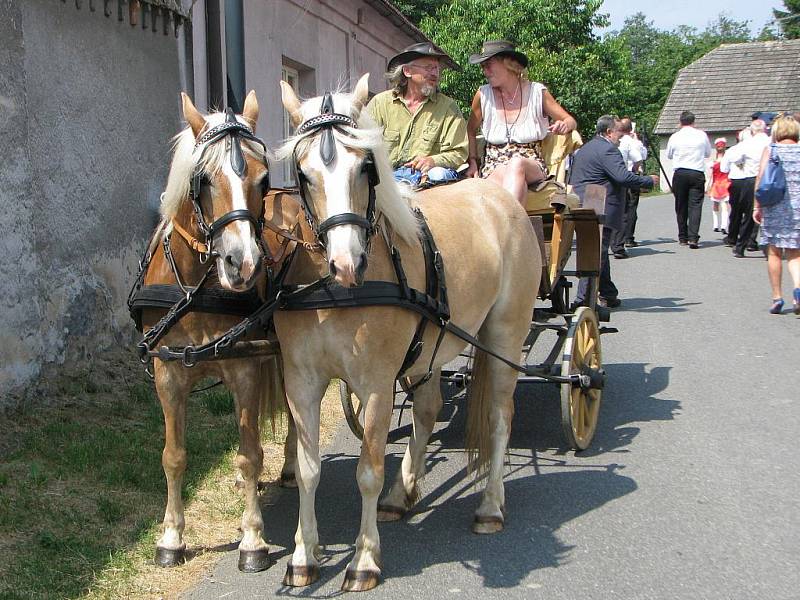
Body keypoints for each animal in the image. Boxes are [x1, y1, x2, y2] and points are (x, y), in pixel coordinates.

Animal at [134, 92, 296, 572]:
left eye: (262, 178)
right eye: (203, 178)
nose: (243, 264)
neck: (196, 290)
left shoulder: (244, 370)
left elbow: (249, 455)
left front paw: (253, 539)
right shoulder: (168, 376)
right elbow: (173, 456)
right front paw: (170, 537)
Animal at [274, 75, 544, 592]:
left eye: (366, 167)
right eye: (303, 171)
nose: (347, 263)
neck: (332, 292)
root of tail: (500, 198)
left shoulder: (378, 385)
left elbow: (367, 471)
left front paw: (363, 560)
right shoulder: (300, 382)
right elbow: (308, 470)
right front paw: (302, 555)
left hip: (503, 337)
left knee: (500, 418)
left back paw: (490, 507)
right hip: (430, 349)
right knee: (428, 409)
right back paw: (403, 495)